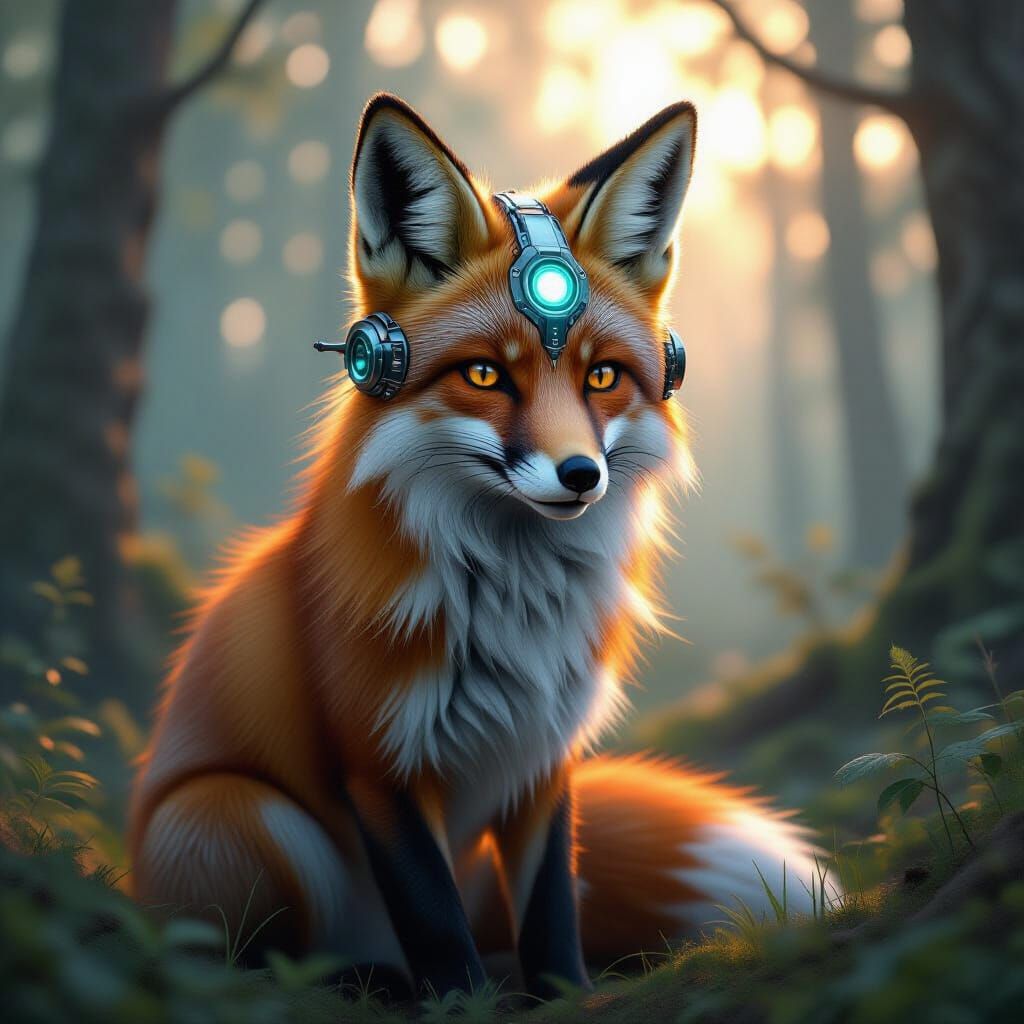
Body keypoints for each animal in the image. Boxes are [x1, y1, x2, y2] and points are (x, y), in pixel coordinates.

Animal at [129, 94, 821, 999]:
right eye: (487, 375)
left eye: (603, 378)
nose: (581, 475)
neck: (514, 610)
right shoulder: (378, 764)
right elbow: (435, 923)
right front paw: (460, 1003)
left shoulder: (544, 753)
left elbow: (553, 908)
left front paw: (565, 997)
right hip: (235, 812)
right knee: (246, 964)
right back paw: (365, 981)